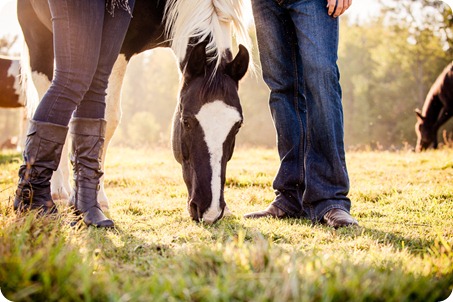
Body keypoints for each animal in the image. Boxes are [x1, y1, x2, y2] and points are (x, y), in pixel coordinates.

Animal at [18, 0, 251, 224]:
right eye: (186, 121)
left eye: (238, 126)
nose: (210, 211)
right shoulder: (120, 47)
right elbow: (109, 119)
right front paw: (98, 199)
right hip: (39, 37)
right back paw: (57, 192)